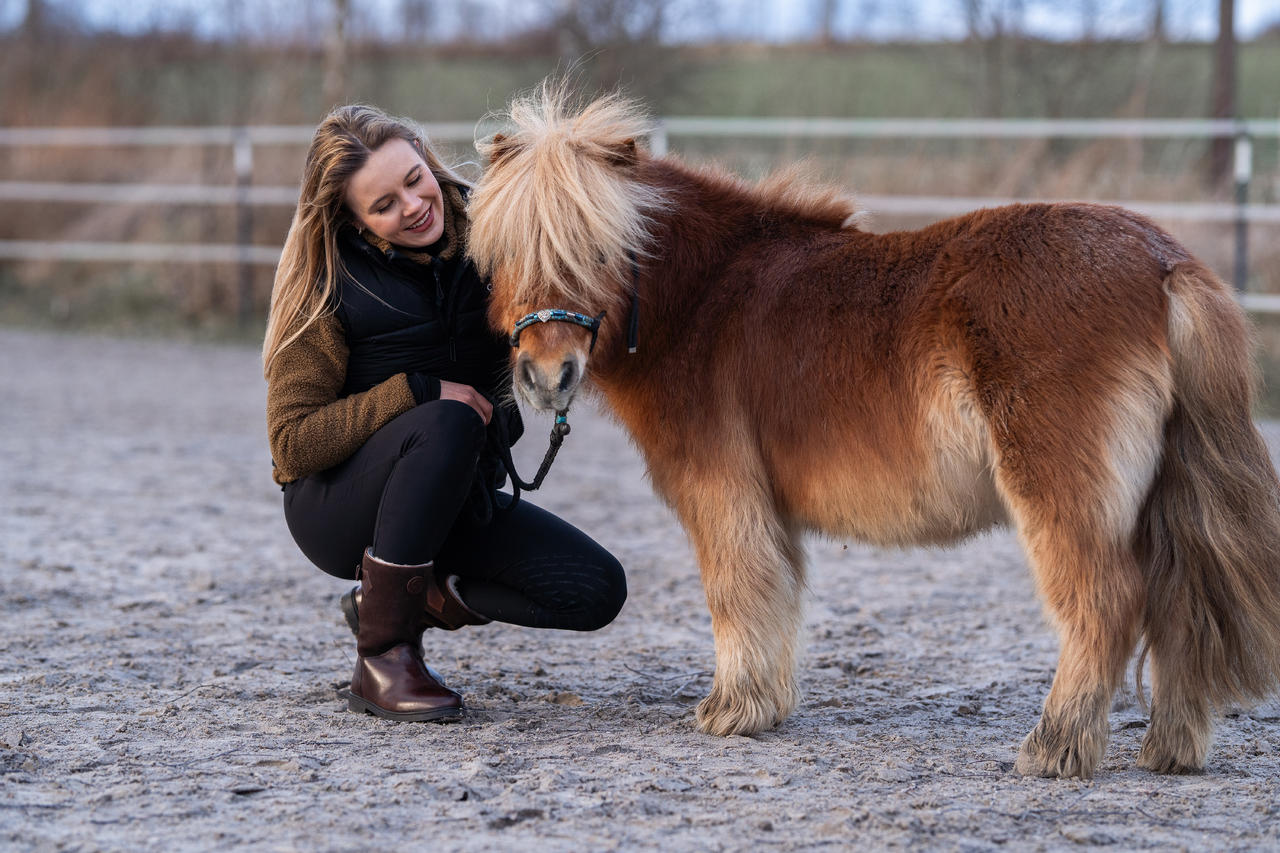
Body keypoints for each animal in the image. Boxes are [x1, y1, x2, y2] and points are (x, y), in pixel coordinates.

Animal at [465, 87, 1280, 778]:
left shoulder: (721, 491)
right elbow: (775, 592)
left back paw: (1054, 747)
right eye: (502, 254)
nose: (546, 375)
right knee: (1178, 601)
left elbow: (736, 589)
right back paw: (1169, 749)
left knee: (1106, 602)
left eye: (597, 250)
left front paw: (730, 711)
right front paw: (763, 706)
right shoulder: (765, 505)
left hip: (1060, 492)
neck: (706, 299)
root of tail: (1164, 263)